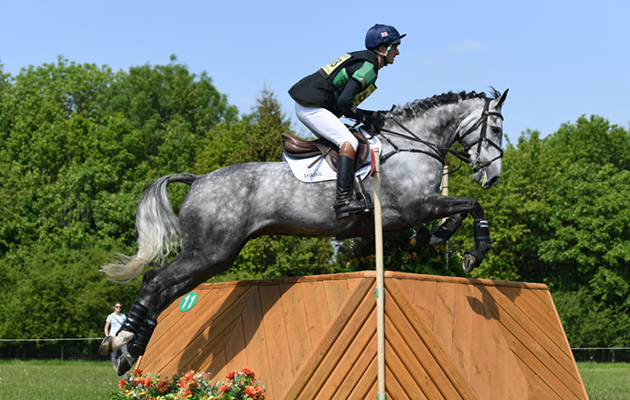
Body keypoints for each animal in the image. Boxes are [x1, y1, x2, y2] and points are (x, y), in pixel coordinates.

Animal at [101, 88, 512, 376]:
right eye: (495, 128)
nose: (492, 177)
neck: (413, 144)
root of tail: (199, 179)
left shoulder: (408, 212)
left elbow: (451, 217)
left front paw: (434, 239)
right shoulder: (416, 205)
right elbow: (472, 206)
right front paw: (474, 252)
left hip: (215, 257)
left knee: (165, 292)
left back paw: (130, 352)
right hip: (208, 251)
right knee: (154, 281)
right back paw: (123, 340)